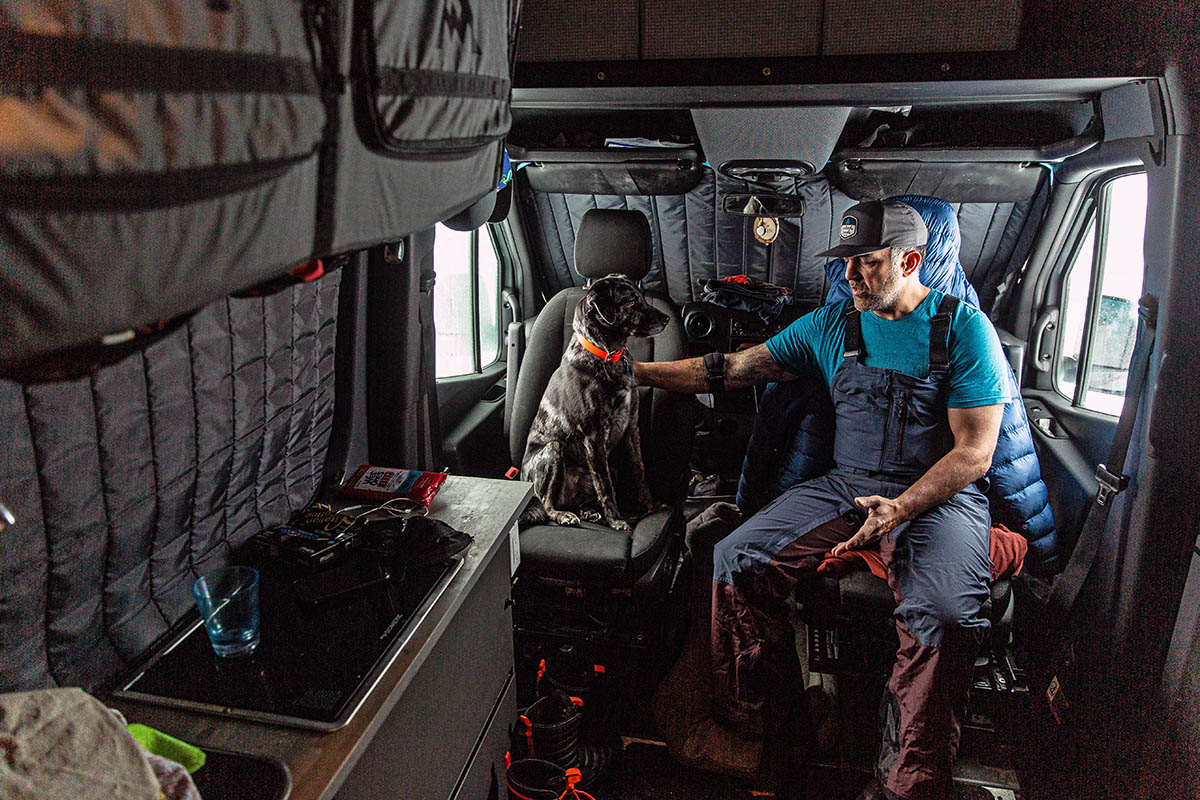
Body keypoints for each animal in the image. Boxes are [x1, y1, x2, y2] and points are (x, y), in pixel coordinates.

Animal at [520, 275, 672, 532]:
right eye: (631, 302)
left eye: (641, 298)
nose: (667, 318)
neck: (607, 355)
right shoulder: (594, 436)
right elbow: (606, 487)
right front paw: (617, 520)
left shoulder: (631, 428)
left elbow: (639, 472)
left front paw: (651, 505)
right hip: (553, 451)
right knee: (547, 502)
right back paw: (564, 515)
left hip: (609, 466)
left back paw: (589, 511)